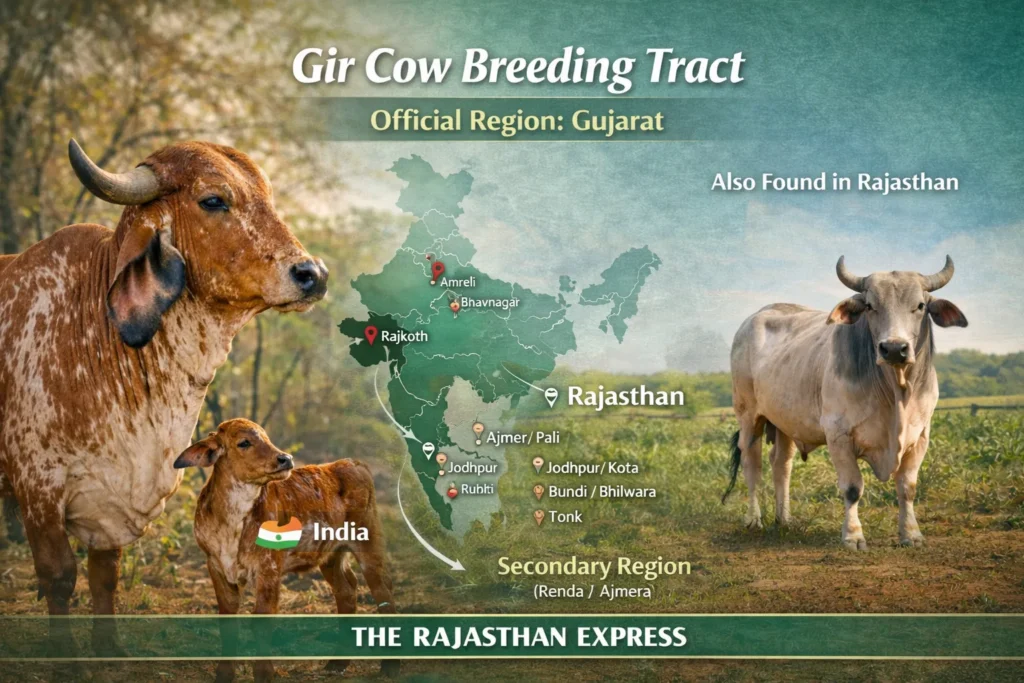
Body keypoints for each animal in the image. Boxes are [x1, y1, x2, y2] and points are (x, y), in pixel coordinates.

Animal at [0, 139, 328, 654]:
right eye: (213, 200)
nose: (313, 274)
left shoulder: (111, 499)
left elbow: (104, 576)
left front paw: (109, 652)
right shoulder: (37, 486)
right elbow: (59, 577)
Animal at [724, 256, 967, 549]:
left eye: (920, 305)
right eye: (870, 306)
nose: (894, 349)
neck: (895, 394)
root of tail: (755, 316)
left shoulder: (920, 435)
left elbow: (907, 487)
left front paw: (911, 534)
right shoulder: (838, 435)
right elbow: (852, 488)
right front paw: (853, 536)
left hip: (785, 423)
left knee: (781, 464)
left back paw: (784, 520)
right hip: (748, 416)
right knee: (752, 464)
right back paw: (754, 520)